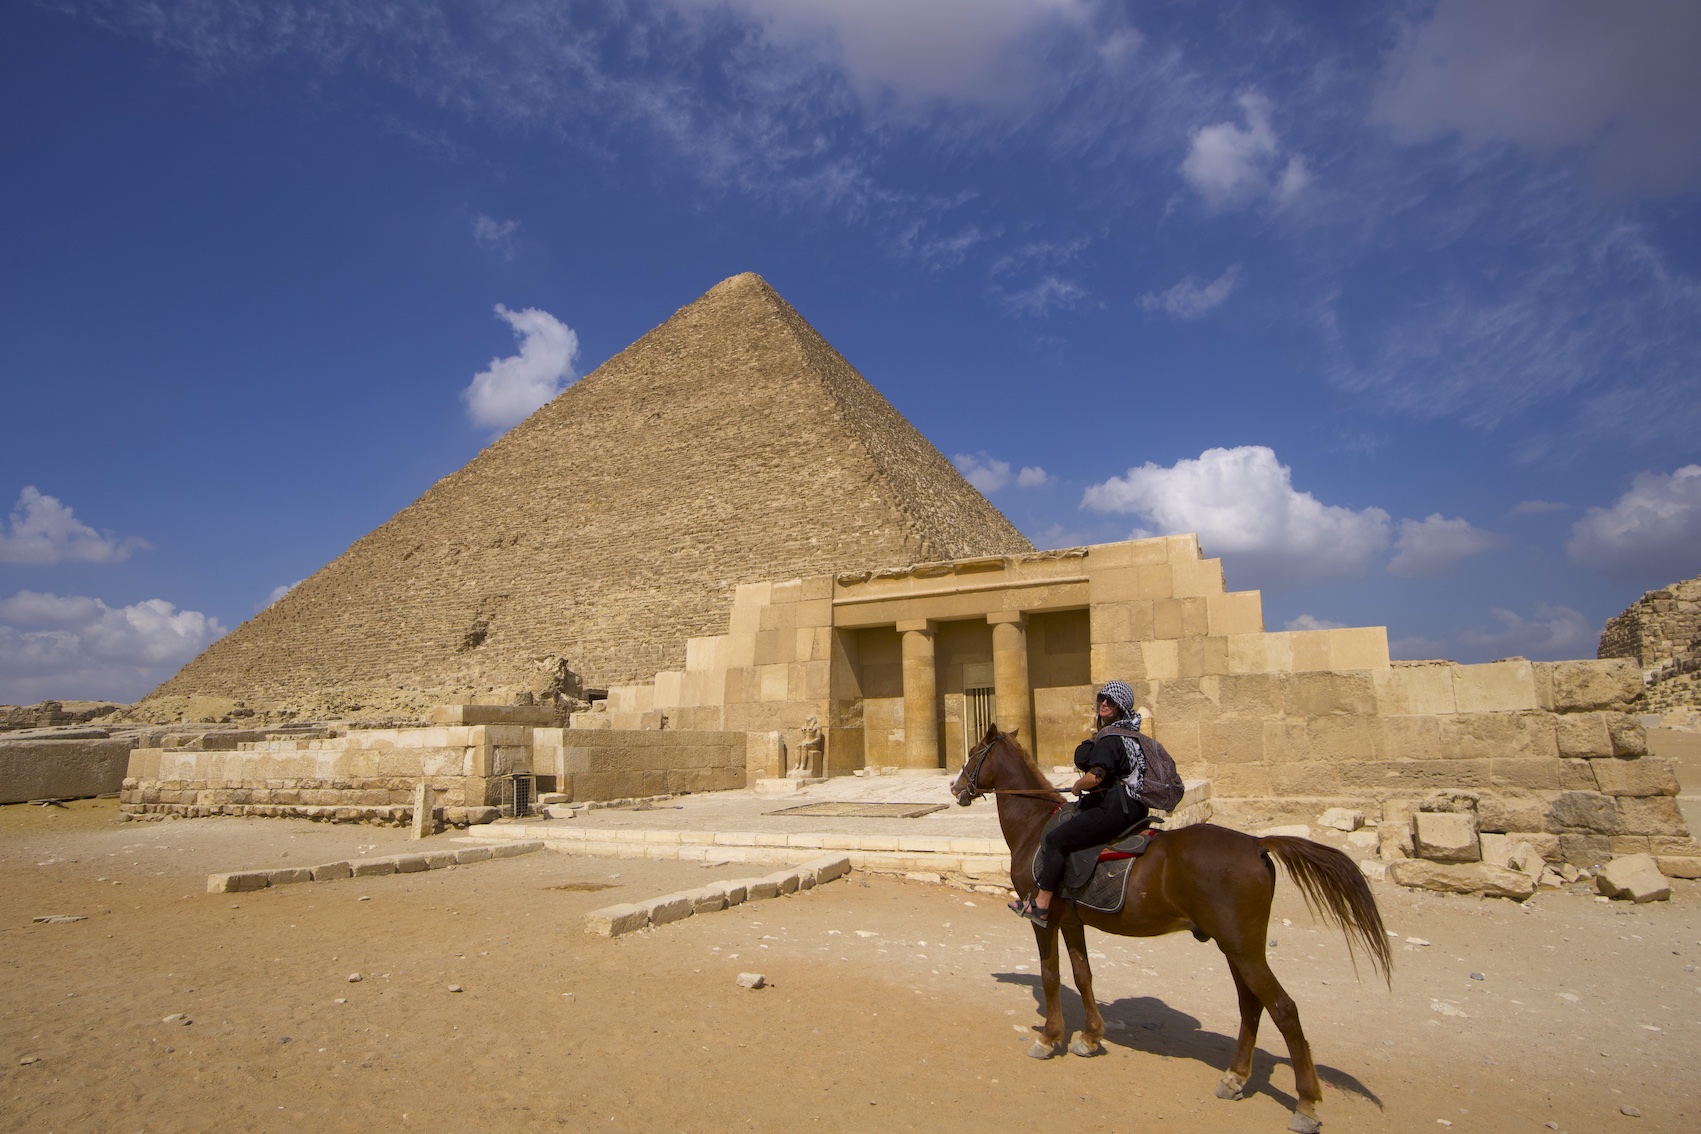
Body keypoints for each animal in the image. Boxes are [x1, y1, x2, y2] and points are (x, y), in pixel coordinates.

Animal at [950, 726, 1391, 1134]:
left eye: (973, 753)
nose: (956, 788)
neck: (1035, 825)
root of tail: (1256, 844)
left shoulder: (1045, 918)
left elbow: (1050, 976)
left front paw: (1048, 1039)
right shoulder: (1074, 920)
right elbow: (1083, 974)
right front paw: (1090, 1038)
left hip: (1243, 948)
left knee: (1284, 1009)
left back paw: (1305, 1105)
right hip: (1236, 946)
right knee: (1251, 1005)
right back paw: (1235, 1078)